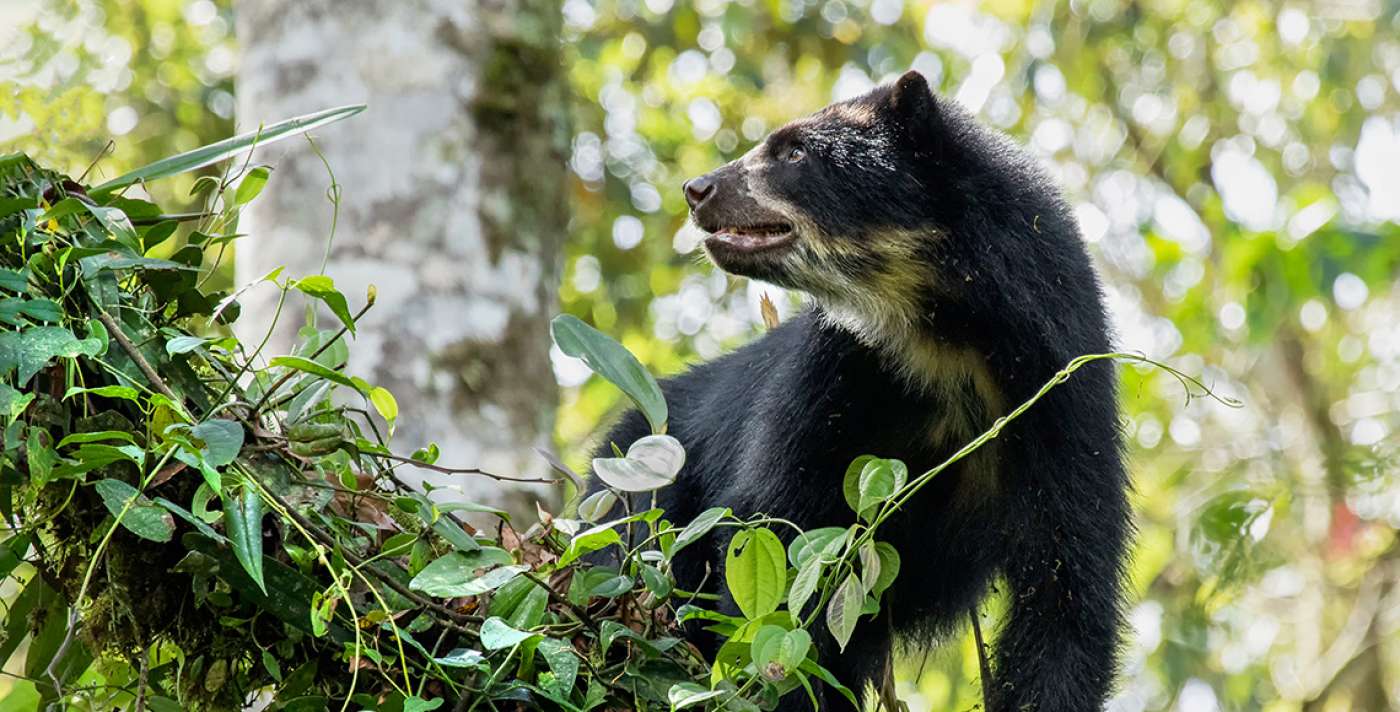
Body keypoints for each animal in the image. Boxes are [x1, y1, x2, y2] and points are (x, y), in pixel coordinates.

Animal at [592, 70, 1129, 711]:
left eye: (794, 153)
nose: (697, 188)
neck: (945, 338)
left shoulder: (1061, 395)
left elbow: (1067, 589)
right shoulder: (833, 374)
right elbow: (779, 534)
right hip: (641, 492)